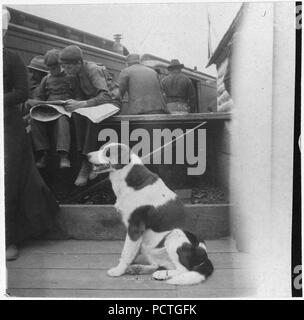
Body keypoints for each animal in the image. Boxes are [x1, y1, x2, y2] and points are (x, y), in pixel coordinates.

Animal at [86, 142, 213, 284]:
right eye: (101, 148)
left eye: (107, 153)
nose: (87, 156)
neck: (127, 176)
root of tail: (204, 257)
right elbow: (132, 252)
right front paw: (129, 266)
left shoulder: (135, 228)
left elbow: (126, 252)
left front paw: (118, 271)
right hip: (150, 248)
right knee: (159, 264)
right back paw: (140, 269)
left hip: (175, 234)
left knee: (183, 270)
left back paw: (162, 274)